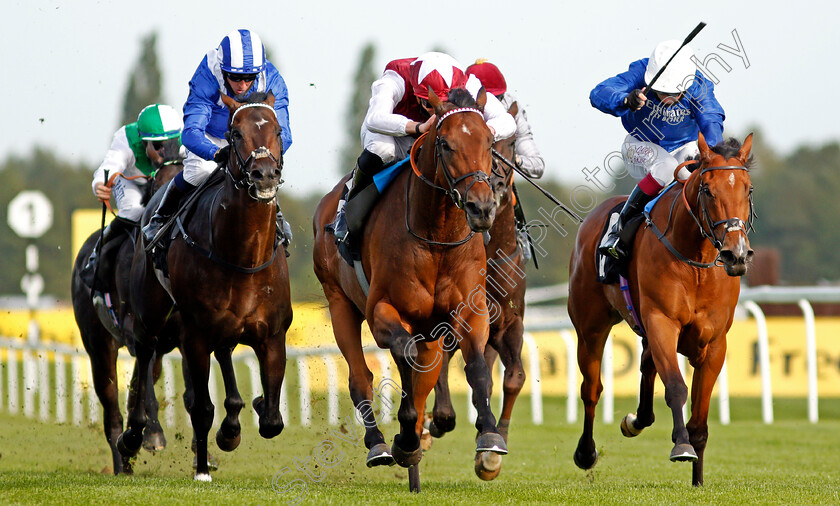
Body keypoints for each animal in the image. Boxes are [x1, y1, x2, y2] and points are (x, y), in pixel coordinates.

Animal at [72, 140, 184, 472]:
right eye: (159, 184)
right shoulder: (137, 330)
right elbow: (143, 391)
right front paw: (153, 434)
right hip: (99, 347)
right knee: (112, 411)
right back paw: (122, 462)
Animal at [124, 92, 292, 482]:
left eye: (278, 130)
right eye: (235, 133)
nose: (264, 174)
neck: (243, 257)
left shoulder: (272, 334)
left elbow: (273, 419)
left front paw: (250, 412)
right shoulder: (195, 335)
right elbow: (201, 407)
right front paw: (202, 469)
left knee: (226, 356)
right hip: (150, 314)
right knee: (145, 353)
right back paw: (134, 434)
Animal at [314, 86, 506, 490]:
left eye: (489, 141)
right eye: (446, 143)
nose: (481, 208)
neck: (437, 237)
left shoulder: (471, 310)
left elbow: (477, 366)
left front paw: (489, 436)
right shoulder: (382, 310)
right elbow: (404, 355)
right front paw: (404, 438)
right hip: (339, 303)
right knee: (360, 377)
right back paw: (381, 443)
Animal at [572, 133, 756, 486]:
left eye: (748, 189)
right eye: (707, 189)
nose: (736, 254)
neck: (696, 262)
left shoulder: (715, 343)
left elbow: (700, 415)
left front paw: (698, 479)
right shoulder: (662, 323)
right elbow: (675, 387)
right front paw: (681, 446)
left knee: (645, 366)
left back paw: (635, 420)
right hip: (590, 328)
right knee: (591, 389)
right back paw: (586, 453)